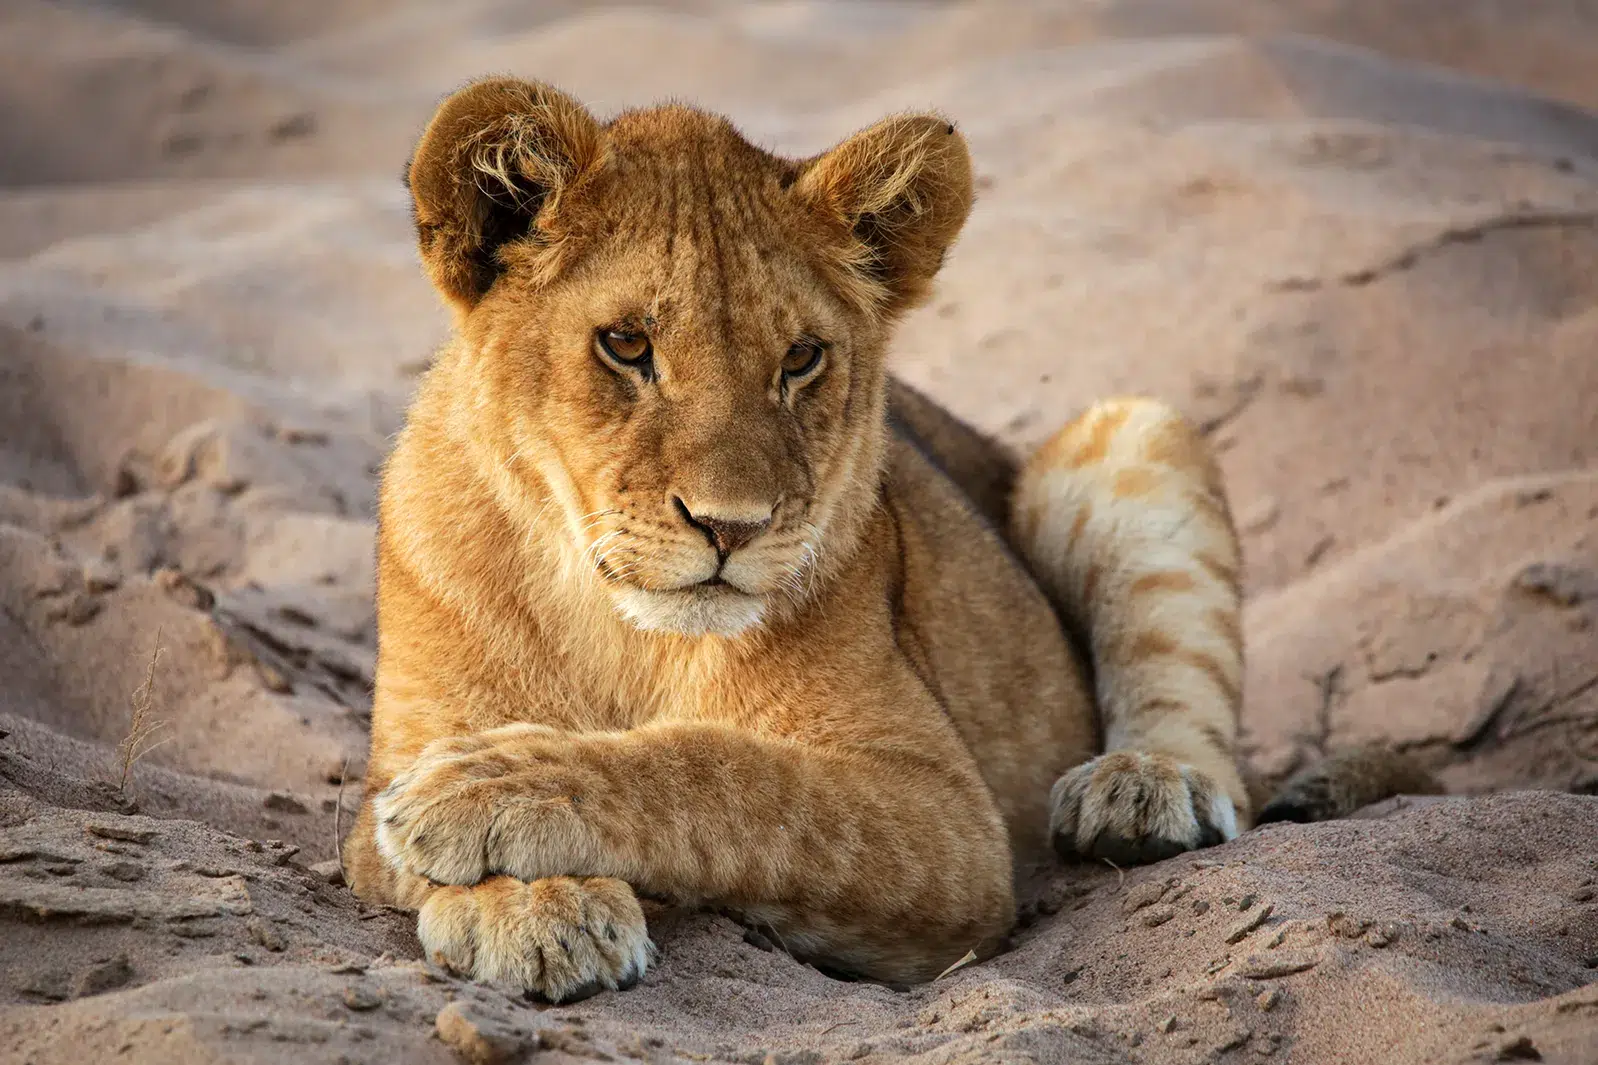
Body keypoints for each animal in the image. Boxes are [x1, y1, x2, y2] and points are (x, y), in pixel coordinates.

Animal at [342, 77, 1434, 1002]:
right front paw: (536, 903)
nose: (731, 527)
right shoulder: (392, 764)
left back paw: (1143, 790)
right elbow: (402, 832)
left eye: (800, 359)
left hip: (1127, 434)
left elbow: (725, 772)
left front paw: (493, 795)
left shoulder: (948, 817)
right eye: (624, 345)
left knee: (1198, 724)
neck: (622, 629)